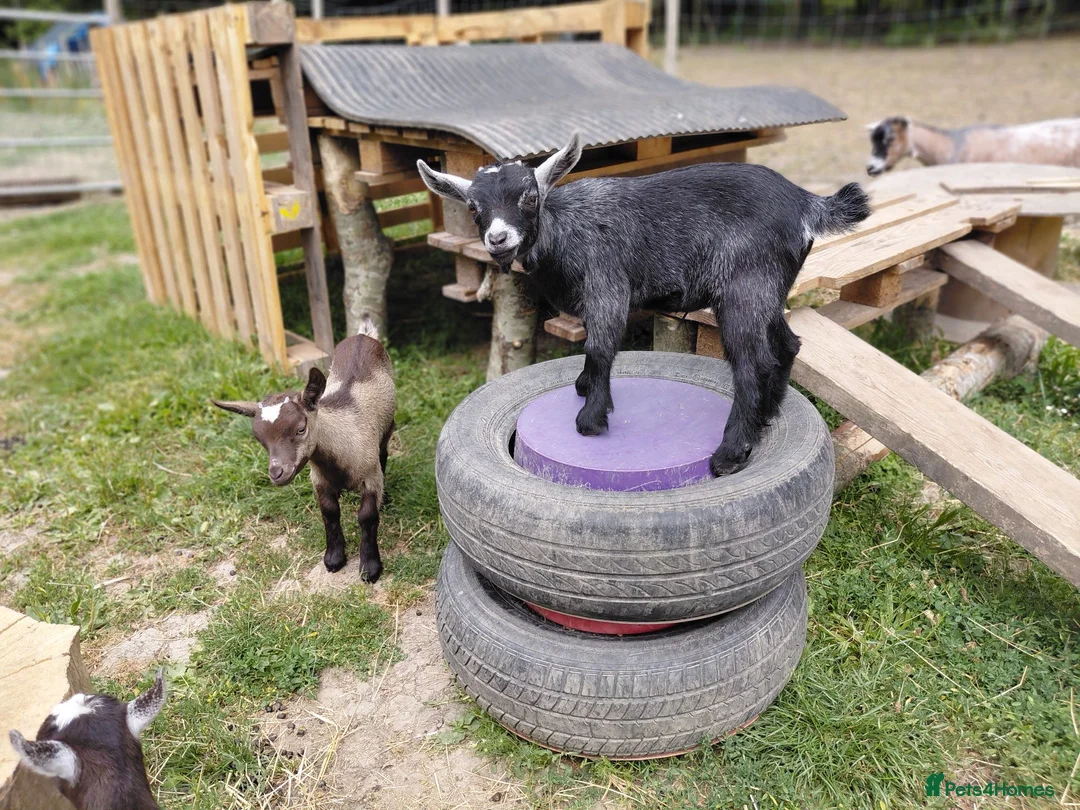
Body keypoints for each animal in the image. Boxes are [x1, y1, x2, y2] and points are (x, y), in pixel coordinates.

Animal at [212, 316, 396, 581]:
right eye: (259, 439)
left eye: (300, 429)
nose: (277, 473)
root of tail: (363, 335)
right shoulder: (318, 479)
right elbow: (329, 512)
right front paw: (333, 559)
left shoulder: (370, 477)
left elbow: (367, 516)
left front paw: (370, 568)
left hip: (388, 427)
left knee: (384, 452)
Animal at [419, 135, 871, 474]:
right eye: (472, 207)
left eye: (530, 197)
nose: (498, 239)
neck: (565, 231)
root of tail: (808, 204)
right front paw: (584, 388)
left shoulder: (608, 286)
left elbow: (599, 348)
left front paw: (591, 418)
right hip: (768, 292)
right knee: (788, 345)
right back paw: (766, 415)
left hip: (745, 288)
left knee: (754, 363)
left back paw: (730, 452)